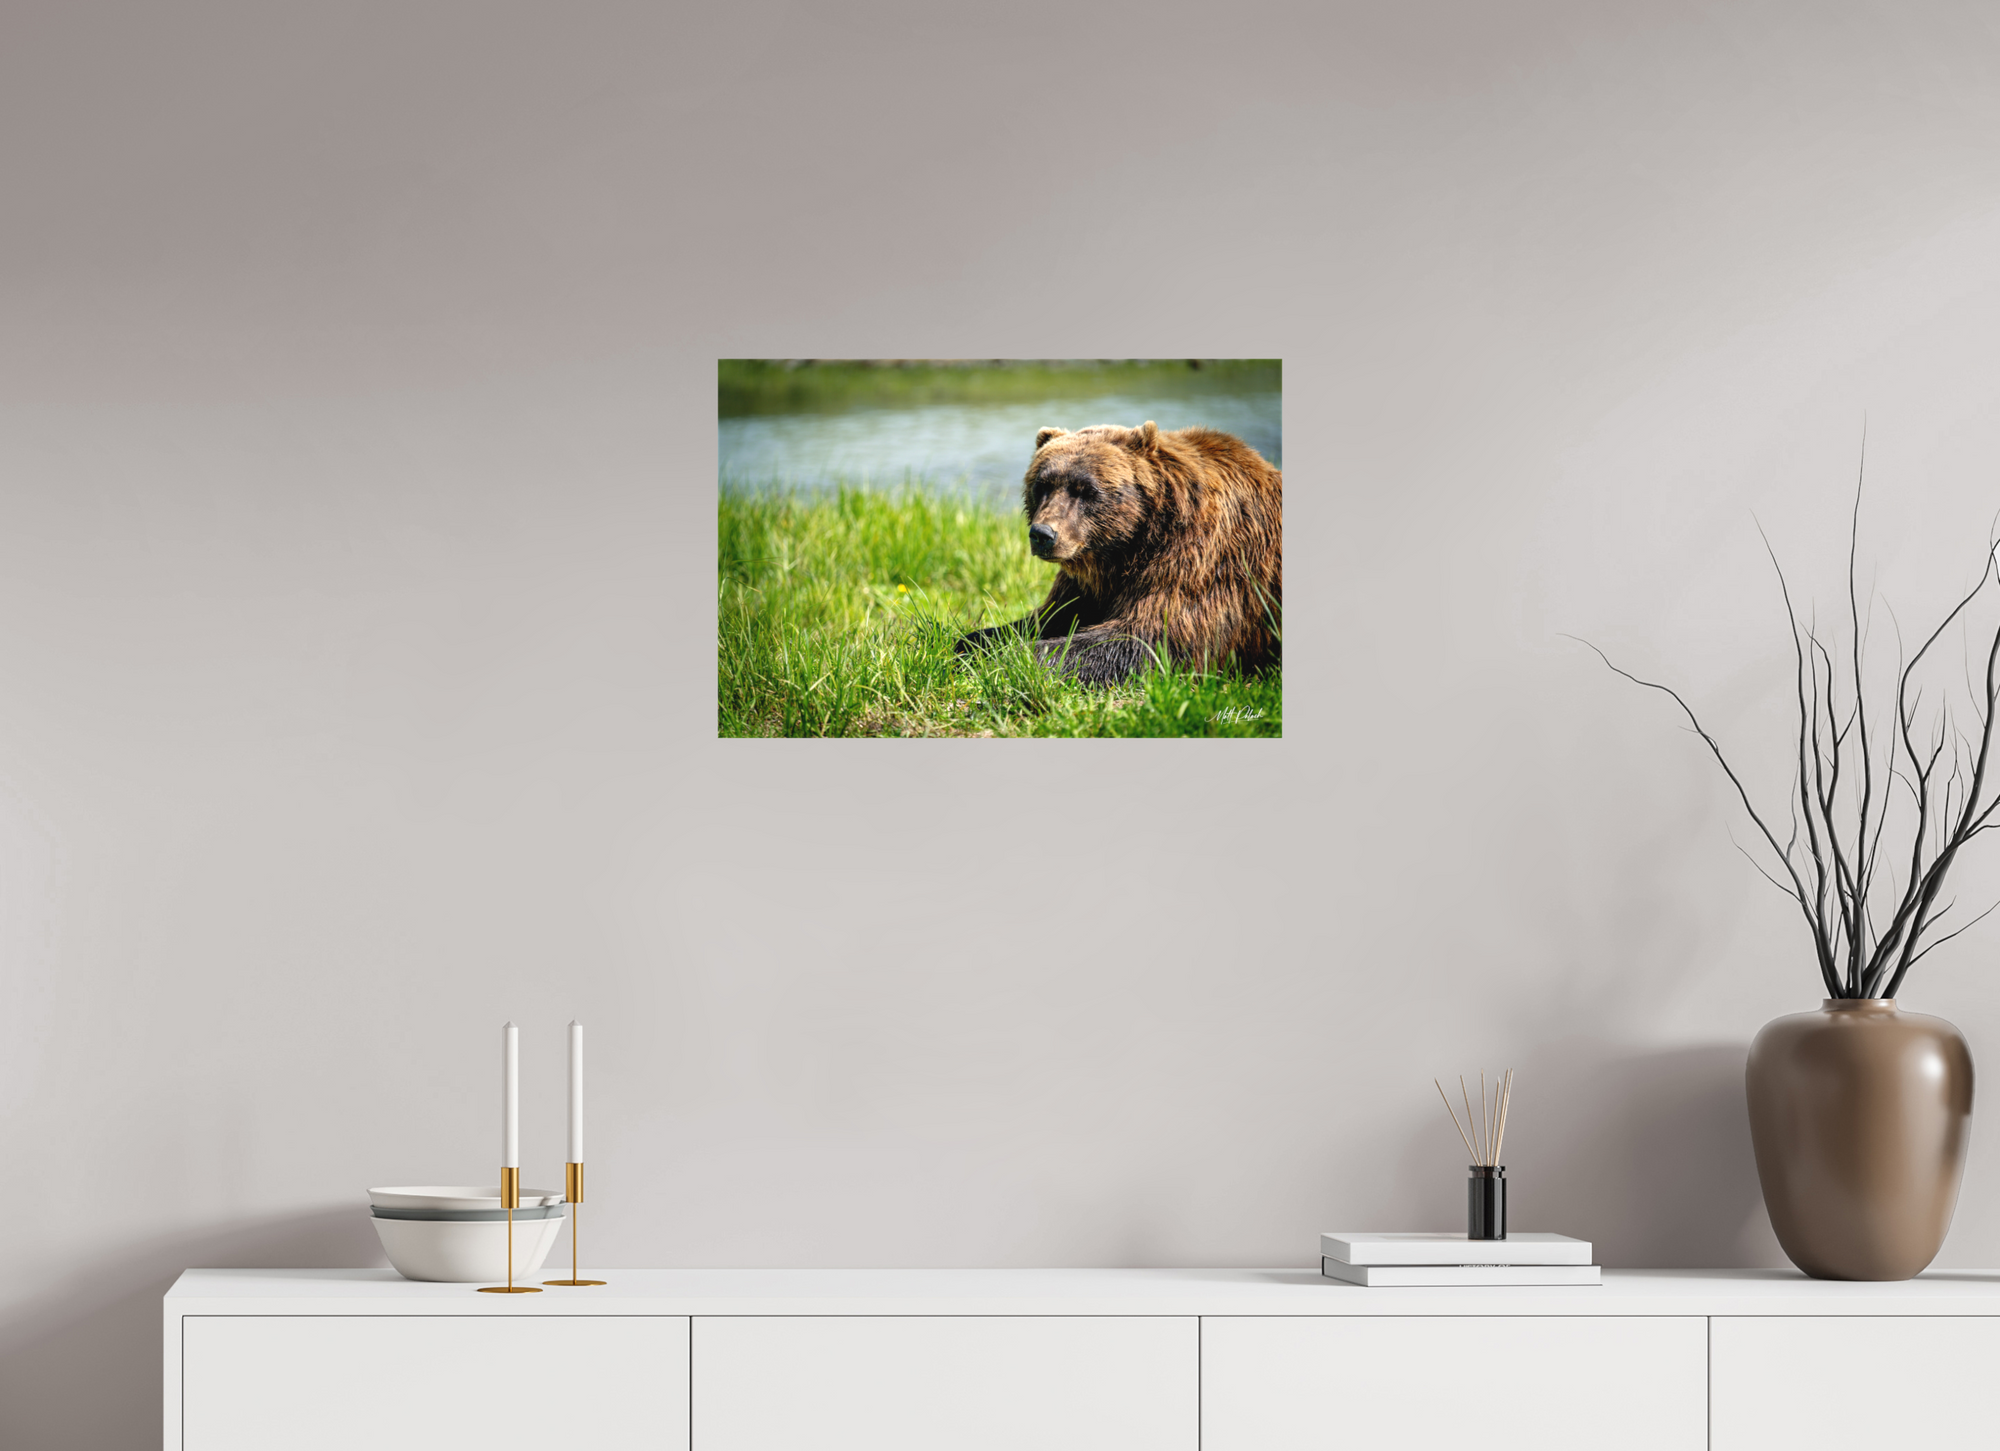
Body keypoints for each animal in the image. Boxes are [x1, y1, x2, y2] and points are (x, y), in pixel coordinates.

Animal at [955, 421, 1282, 684]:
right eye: (1042, 485)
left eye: (1086, 489)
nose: (1043, 534)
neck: (1127, 548)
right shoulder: (1087, 581)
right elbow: (1049, 616)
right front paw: (969, 642)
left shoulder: (1200, 558)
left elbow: (1150, 638)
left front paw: (1012, 656)